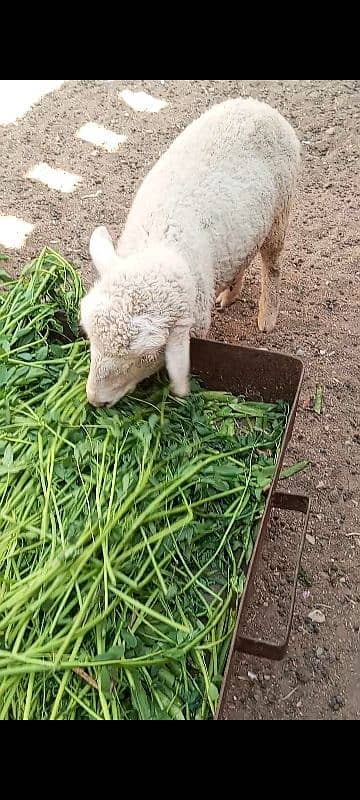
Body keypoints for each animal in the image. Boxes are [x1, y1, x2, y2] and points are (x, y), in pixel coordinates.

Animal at [80, 97, 300, 406]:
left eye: (142, 357)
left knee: (272, 265)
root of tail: (259, 105)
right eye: (90, 339)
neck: (158, 242)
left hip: (280, 212)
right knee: (242, 259)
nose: (95, 400)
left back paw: (267, 315)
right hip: (244, 228)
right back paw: (230, 294)